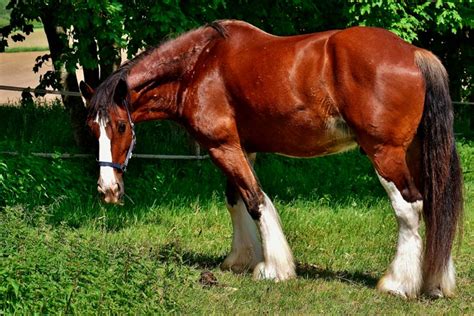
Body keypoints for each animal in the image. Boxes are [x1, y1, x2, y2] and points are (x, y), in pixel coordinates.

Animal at [80, 19, 462, 298]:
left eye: (120, 126)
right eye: (92, 128)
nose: (107, 190)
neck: (199, 65)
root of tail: (413, 53)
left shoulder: (223, 146)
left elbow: (254, 201)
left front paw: (273, 269)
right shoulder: (238, 147)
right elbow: (234, 199)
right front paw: (239, 259)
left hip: (384, 153)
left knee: (409, 208)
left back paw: (398, 284)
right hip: (413, 153)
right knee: (432, 207)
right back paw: (434, 282)